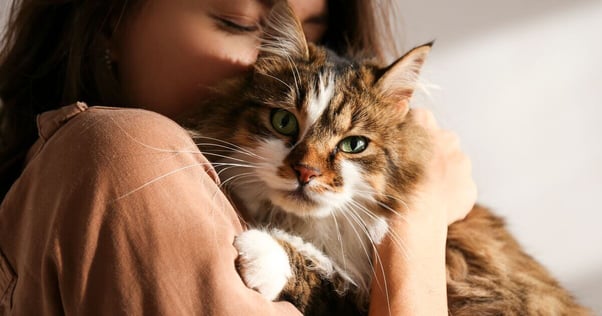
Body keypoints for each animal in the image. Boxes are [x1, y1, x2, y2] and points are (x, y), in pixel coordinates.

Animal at [182, 1, 584, 314]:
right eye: (284, 122)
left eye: (354, 145)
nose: (305, 172)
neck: (317, 229)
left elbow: (327, 281)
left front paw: (263, 252)